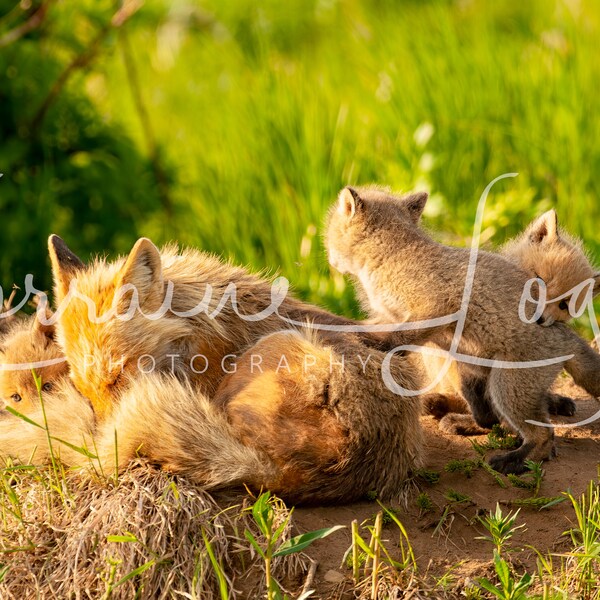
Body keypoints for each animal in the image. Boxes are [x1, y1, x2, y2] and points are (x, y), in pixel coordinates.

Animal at [326, 185, 600, 476]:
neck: (394, 255)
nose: (329, 259)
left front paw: (376, 345)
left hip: (507, 387)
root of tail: (567, 336)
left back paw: (513, 460)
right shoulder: (392, 316)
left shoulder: (435, 307)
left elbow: (401, 337)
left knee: (544, 436)